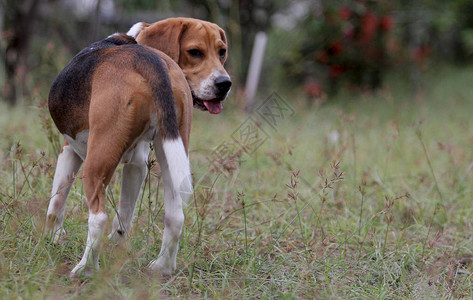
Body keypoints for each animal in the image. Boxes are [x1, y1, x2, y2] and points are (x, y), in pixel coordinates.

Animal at [47, 18, 231, 276]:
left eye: (221, 52)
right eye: (195, 52)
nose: (225, 84)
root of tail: (148, 59)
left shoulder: (69, 149)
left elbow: (56, 201)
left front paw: (52, 238)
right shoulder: (137, 165)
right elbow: (124, 216)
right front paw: (117, 248)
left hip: (96, 160)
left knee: (98, 217)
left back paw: (85, 269)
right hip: (172, 154)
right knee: (175, 217)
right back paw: (162, 267)